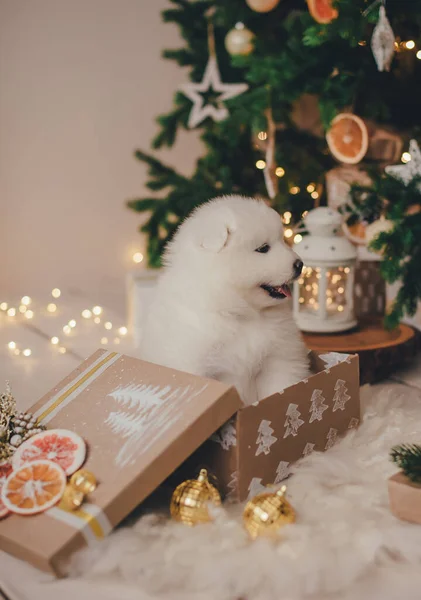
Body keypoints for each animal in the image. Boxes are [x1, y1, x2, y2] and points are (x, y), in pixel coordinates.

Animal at [141, 195, 308, 406]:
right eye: (263, 248)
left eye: (283, 240)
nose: (300, 264)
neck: (239, 313)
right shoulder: (196, 364)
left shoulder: (278, 359)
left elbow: (278, 387)